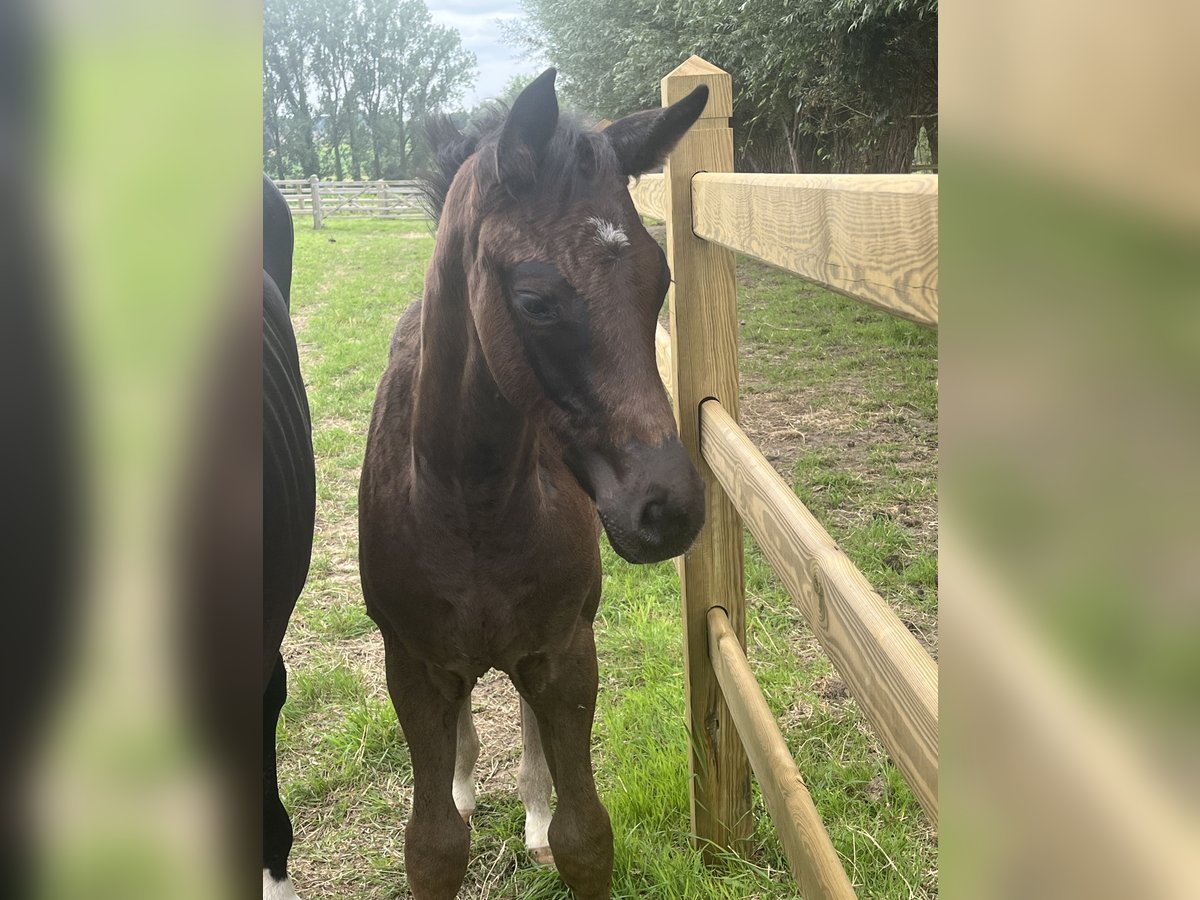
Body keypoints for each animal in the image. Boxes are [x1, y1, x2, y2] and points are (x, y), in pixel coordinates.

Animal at [355, 72, 710, 900]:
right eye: (536, 301)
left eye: (659, 281)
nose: (668, 508)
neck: (469, 504)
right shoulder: (412, 666)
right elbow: (432, 846)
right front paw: (453, 797)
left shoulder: (565, 654)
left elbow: (587, 837)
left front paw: (552, 828)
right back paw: (462, 783)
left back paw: (534, 819)